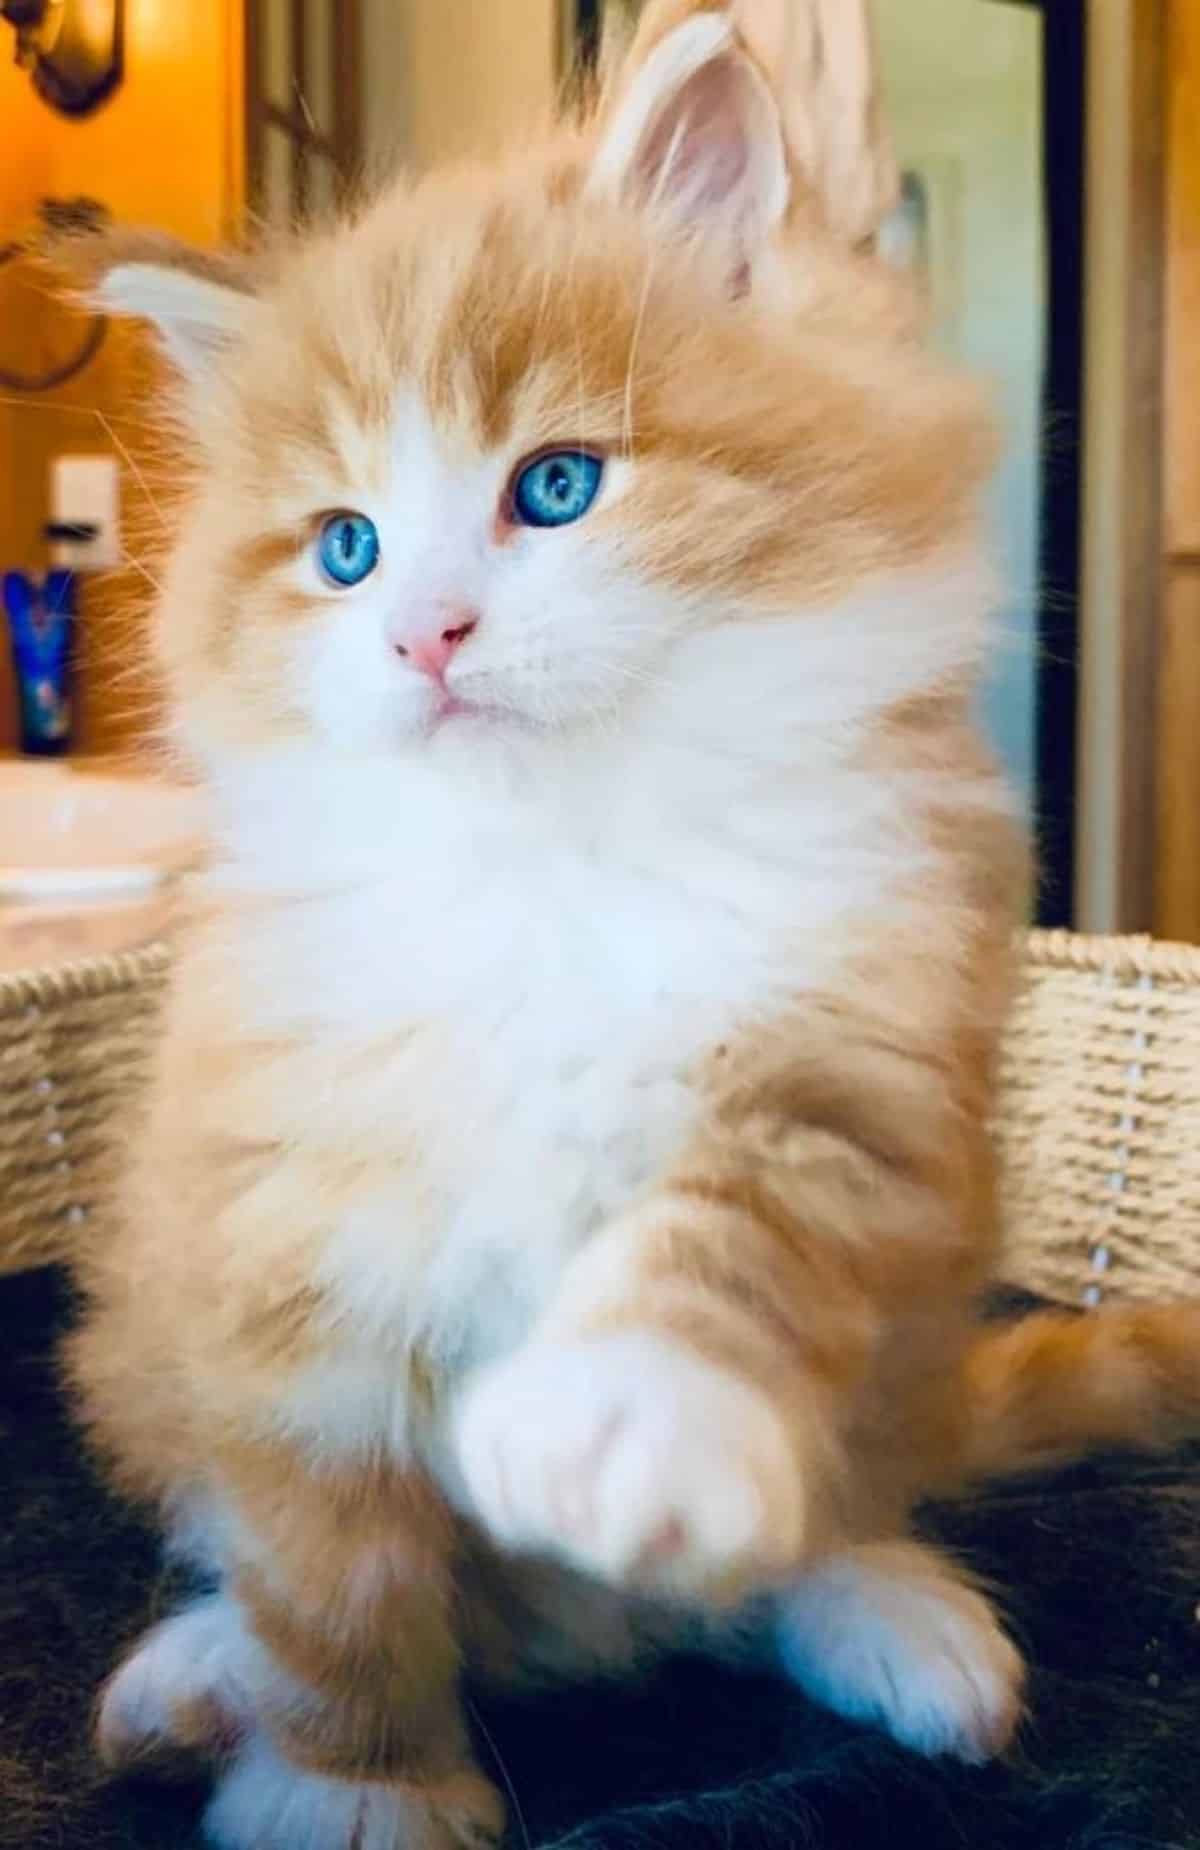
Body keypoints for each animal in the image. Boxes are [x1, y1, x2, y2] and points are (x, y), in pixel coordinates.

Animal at [63, 7, 1198, 1842]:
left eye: (558, 486)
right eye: (346, 548)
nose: (427, 635)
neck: (558, 856)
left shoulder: (864, 1031)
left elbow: (739, 1219)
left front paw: (612, 1421)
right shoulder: (278, 1204)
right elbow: (328, 1549)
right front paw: (352, 1783)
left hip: (911, 1342)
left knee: (821, 1523)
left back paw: (886, 1611)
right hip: (142, 1354)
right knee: (240, 1532)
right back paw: (202, 1671)